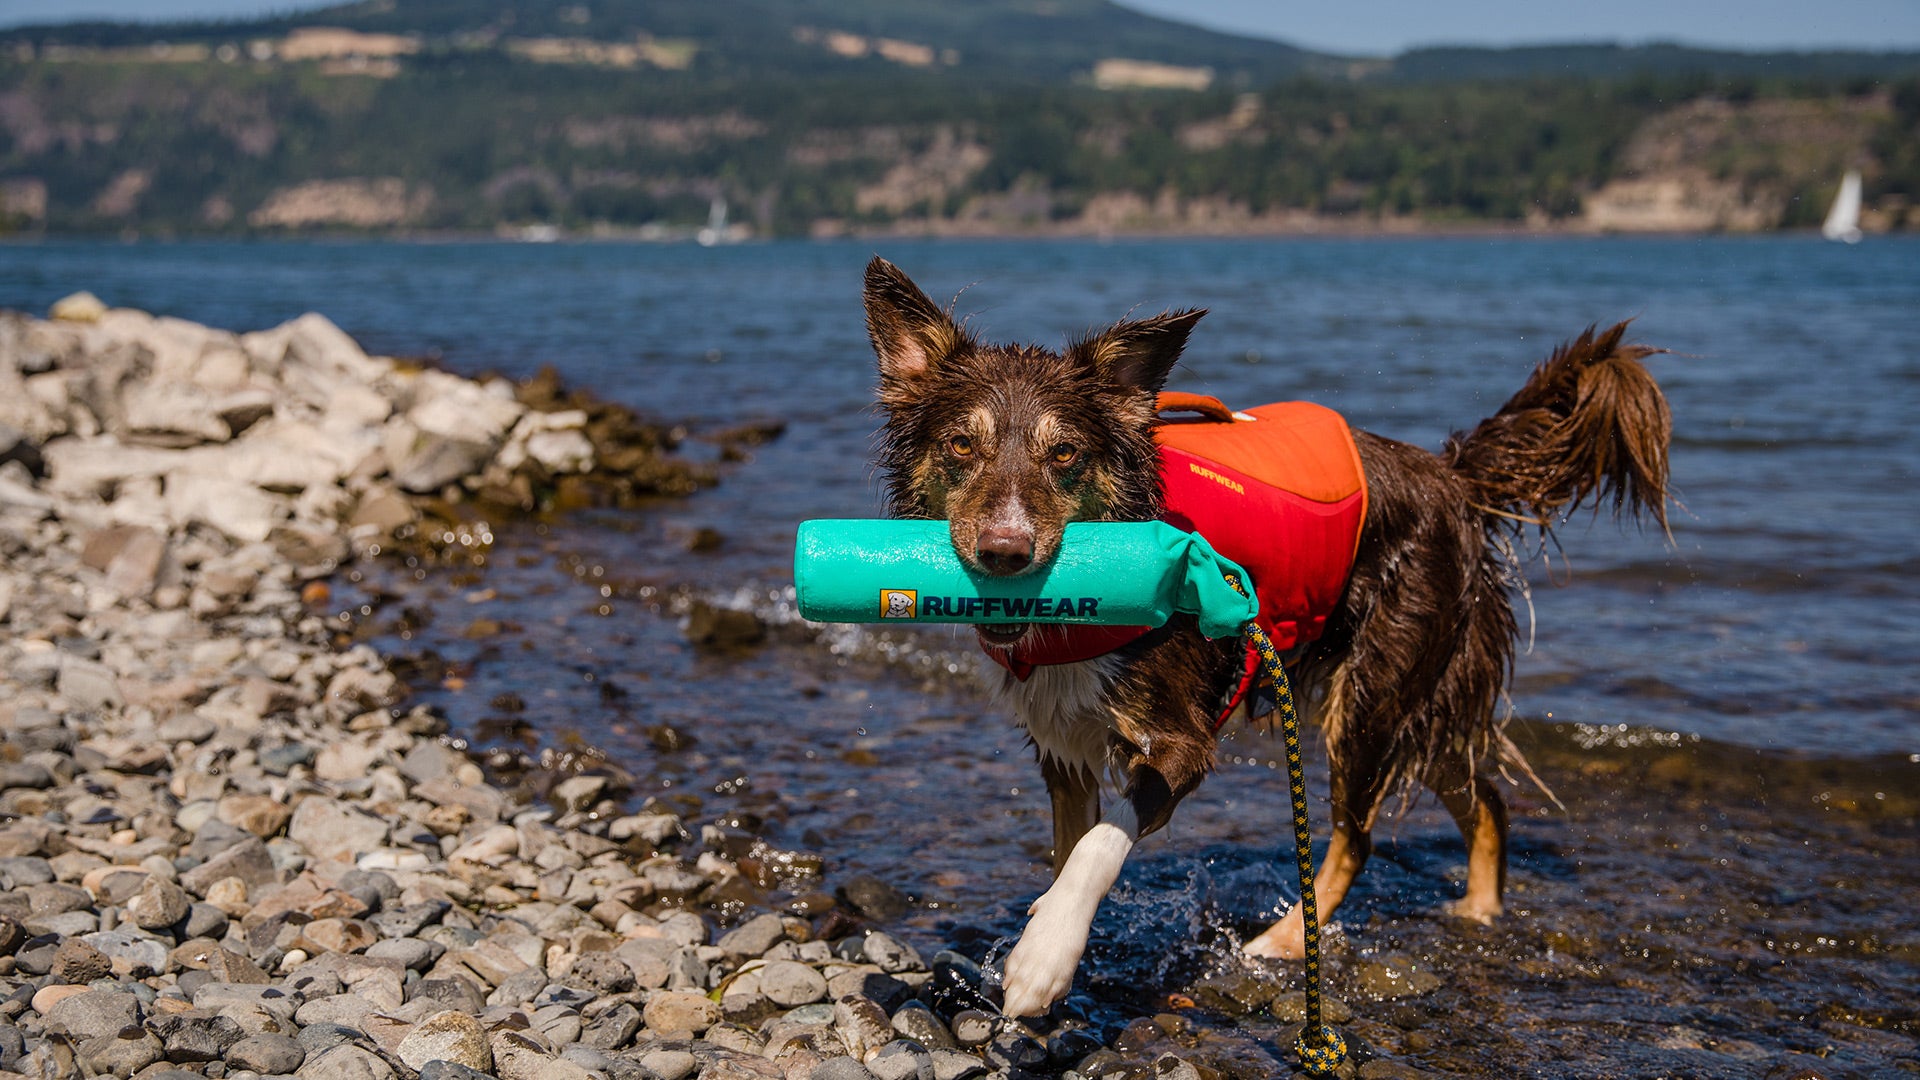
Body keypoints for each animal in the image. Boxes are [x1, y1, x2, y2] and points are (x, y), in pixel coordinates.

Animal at [864, 255, 1674, 1014]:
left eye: (1064, 454)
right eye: (960, 446)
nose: (1004, 552)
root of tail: (1451, 477)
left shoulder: (1185, 740)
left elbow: (1099, 844)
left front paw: (1044, 958)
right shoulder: (1062, 744)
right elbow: (1069, 848)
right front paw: (1050, 942)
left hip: (1371, 694)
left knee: (1358, 836)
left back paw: (1280, 944)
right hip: (1405, 698)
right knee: (1485, 800)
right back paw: (1475, 914)